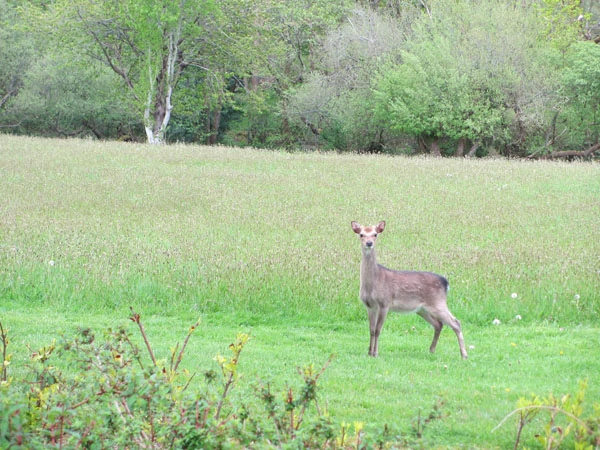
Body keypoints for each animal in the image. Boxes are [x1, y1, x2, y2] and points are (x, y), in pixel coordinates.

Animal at [352, 220, 468, 360]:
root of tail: (445, 283)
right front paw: (369, 352)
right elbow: (371, 330)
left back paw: (464, 354)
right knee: (438, 324)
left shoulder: (385, 303)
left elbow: (378, 330)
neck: (373, 283)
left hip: (437, 303)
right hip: (422, 309)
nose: (369, 243)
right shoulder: (369, 306)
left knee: (456, 322)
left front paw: (375, 353)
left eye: (375, 234)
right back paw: (431, 350)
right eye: (361, 234)